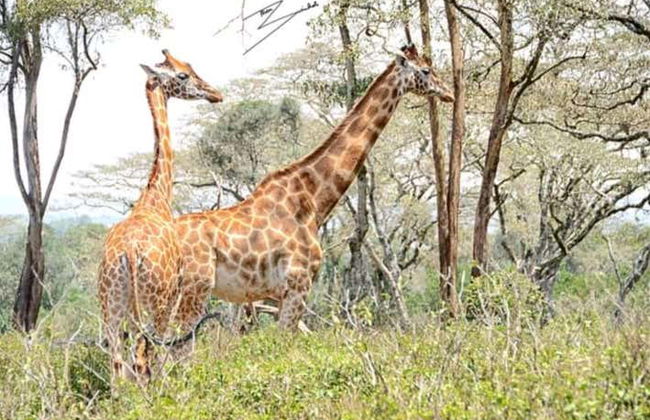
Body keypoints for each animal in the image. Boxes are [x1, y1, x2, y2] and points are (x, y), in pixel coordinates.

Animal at [97, 49, 222, 386]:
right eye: (182, 74)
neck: (155, 198)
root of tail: (128, 254)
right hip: (155, 302)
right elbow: (168, 352)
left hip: (111, 305)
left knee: (117, 364)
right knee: (143, 358)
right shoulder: (174, 296)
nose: (215, 93)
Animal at [173, 44, 453, 332]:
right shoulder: (298, 284)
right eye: (426, 70)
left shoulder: (281, 294)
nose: (449, 93)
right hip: (193, 289)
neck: (313, 198)